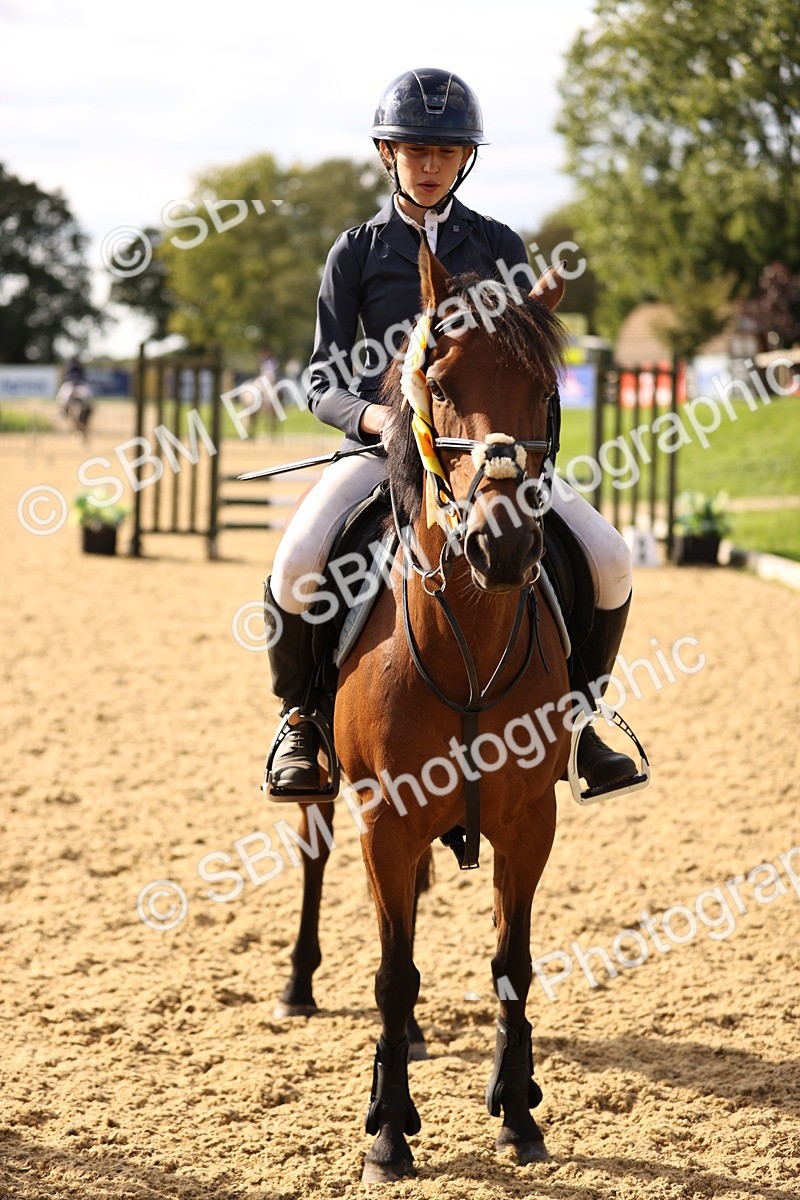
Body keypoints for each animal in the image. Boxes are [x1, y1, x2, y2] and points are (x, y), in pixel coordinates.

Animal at [274, 236, 572, 1181]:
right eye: (436, 381)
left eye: (544, 389)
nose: (503, 543)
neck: (464, 640)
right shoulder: (388, 819)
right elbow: (391, 972)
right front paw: (387, 1131)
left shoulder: (529, 817)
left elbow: (512, 963)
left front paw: (517, 1112)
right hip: (328, 794)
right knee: (317, 864)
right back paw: (298, 987)